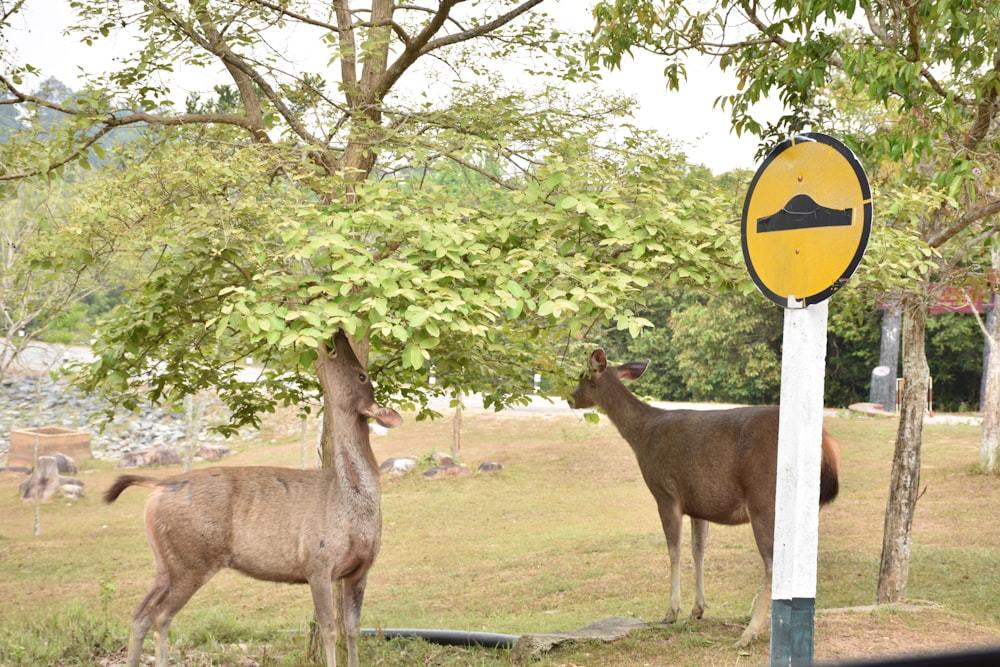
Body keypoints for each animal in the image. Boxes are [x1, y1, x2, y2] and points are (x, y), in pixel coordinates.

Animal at [101, 332, 398, 667]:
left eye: (362, 375)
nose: (338, 335)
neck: (354, 510)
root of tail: (161, 485)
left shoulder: (359, 569)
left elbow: (352, 628)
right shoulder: (317, 561)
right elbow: (330, 630)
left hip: (168, 561)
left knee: (141, 612)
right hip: (191, 559)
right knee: (160, 615)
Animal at [568, 350, 840, 648]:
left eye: (582, 376)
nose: (569, 397)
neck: (642, 435)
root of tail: (825, 443)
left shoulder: (666, 494)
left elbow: (674, 550)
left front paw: (671, 611)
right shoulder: (698, 504)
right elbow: (698, 550)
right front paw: (697, 609)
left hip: (763, 499)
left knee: (771, 564)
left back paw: (749, 632)